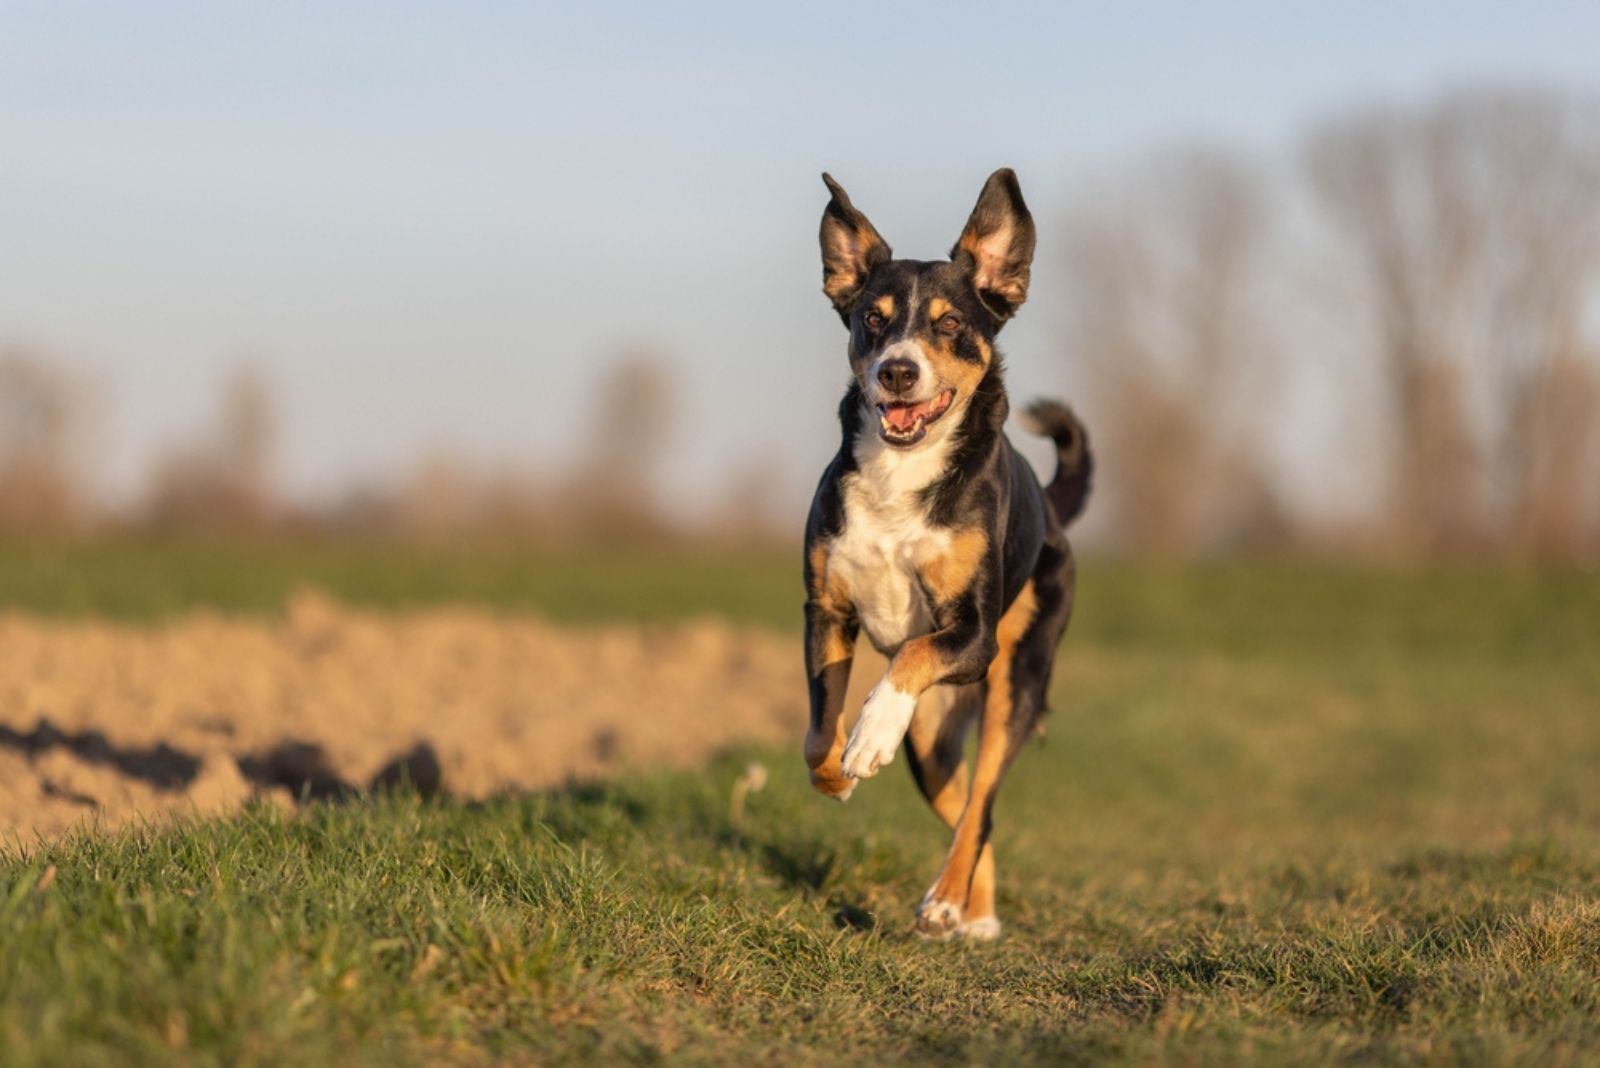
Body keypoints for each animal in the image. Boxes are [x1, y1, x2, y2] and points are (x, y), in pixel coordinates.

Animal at [806, 167, 1094, 940]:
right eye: (872, 319)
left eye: (950, 324)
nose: (898, 372)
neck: (900, 476)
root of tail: (1053, 514)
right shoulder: (827, 611)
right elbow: (816, 736)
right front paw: (838, 774)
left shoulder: (971, 632)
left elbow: (909, 655)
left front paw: (871, 729)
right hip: (932, 745)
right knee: (966, 804)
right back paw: (973, 911)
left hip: (1013, 683)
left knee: (983, 804)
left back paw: (947, 904)